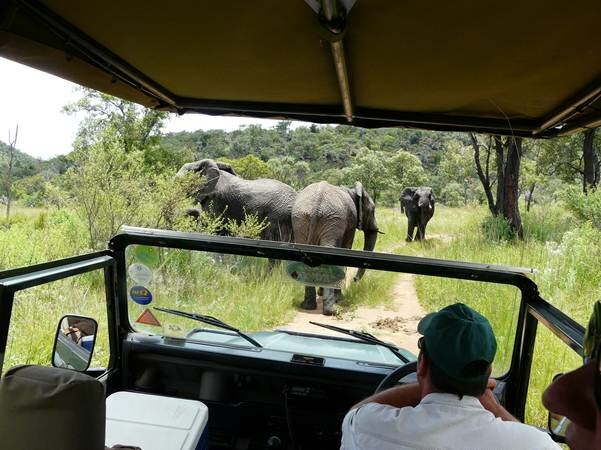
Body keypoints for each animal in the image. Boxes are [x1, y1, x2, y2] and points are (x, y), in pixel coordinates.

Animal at [290, 181, 378, 314]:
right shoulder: (350, 223)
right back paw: (332, 310)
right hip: (332, 220)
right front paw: (339, 298)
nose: (354, 280)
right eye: (372, 210)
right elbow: (346, 250)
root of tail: (316, 205)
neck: (352, 191)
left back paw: (307, 306)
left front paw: (321, 293)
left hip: (301, 219)